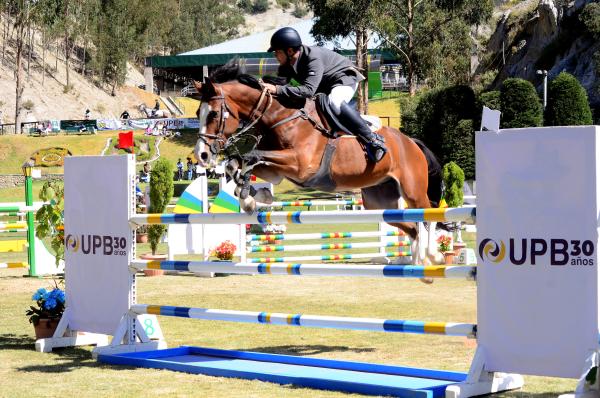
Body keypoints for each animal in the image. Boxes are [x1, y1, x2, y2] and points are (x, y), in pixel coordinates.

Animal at [193, 63, 446, 266]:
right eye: (197, 113)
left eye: (213, 114)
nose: (202, 155)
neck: (281, 117)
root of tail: (411, 142)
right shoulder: (277, 169)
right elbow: (237, 164)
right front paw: (255, 196)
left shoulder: (300, 165)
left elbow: (250, 157)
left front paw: (250, 198)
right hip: (379, 202)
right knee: (411, 226)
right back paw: (417, 259)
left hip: (413, 191)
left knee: (428, 215)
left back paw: (434, 255)